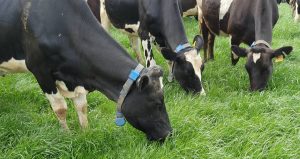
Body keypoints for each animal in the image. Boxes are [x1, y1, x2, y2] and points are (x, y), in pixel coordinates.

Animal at [0, 0, 171, 142]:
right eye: (157, 103)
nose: (169, 133)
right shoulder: (41, 71)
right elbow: (60, 108)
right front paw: (67, 136)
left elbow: (81, 107)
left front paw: (86, 133)